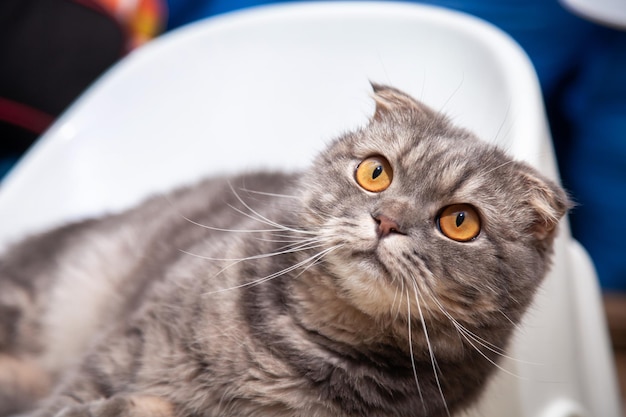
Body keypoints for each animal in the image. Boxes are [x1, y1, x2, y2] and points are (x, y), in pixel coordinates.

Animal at [0, 83, 568, 414]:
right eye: (376, 172)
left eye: (460, 222)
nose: (386, 220)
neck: (291, 350)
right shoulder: (119, 351)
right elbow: (75, 401)